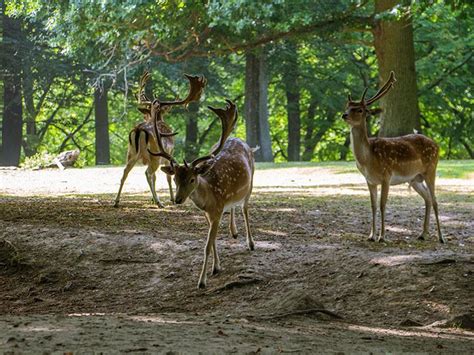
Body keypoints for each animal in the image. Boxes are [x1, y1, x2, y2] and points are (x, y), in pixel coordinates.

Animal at [115, 72, 207, 209]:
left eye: (148, 110)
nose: (145, 116)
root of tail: (139, 130)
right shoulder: (169, 154)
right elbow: (168, 176)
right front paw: (172, 198)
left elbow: (155, 178)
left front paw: (153, 199)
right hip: (154, 156)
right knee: (147, 173)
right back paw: (159, 203)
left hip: (131, 153)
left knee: (126, 172)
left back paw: (116, 201)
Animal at [150, 98, 258, 288]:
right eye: (175, 178)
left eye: (192, 179)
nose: (177, 199)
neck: (210, 199)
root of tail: (245, 143)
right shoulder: (208, 214)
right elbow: (212, 240)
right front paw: (216, 267)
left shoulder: (217, 210)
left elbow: (207, 245)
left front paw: (202, 281)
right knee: (234, 206)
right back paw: (234, 231)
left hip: (251, 184)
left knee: (245, 208)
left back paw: (250, 243)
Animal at [340, 72, 444, 245]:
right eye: (347, 107)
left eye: (360, 110)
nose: (344, 115)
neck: (368, 160)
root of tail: (437, 145)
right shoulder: (370, 180)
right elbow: (373, 206)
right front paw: (371, 236)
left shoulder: (386, 176)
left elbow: (383, 205)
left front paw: (382, 237)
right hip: (414, 179)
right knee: (428, 198)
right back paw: (422, 234)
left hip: (431, 169)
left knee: (435, 200)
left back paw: (441, 237)